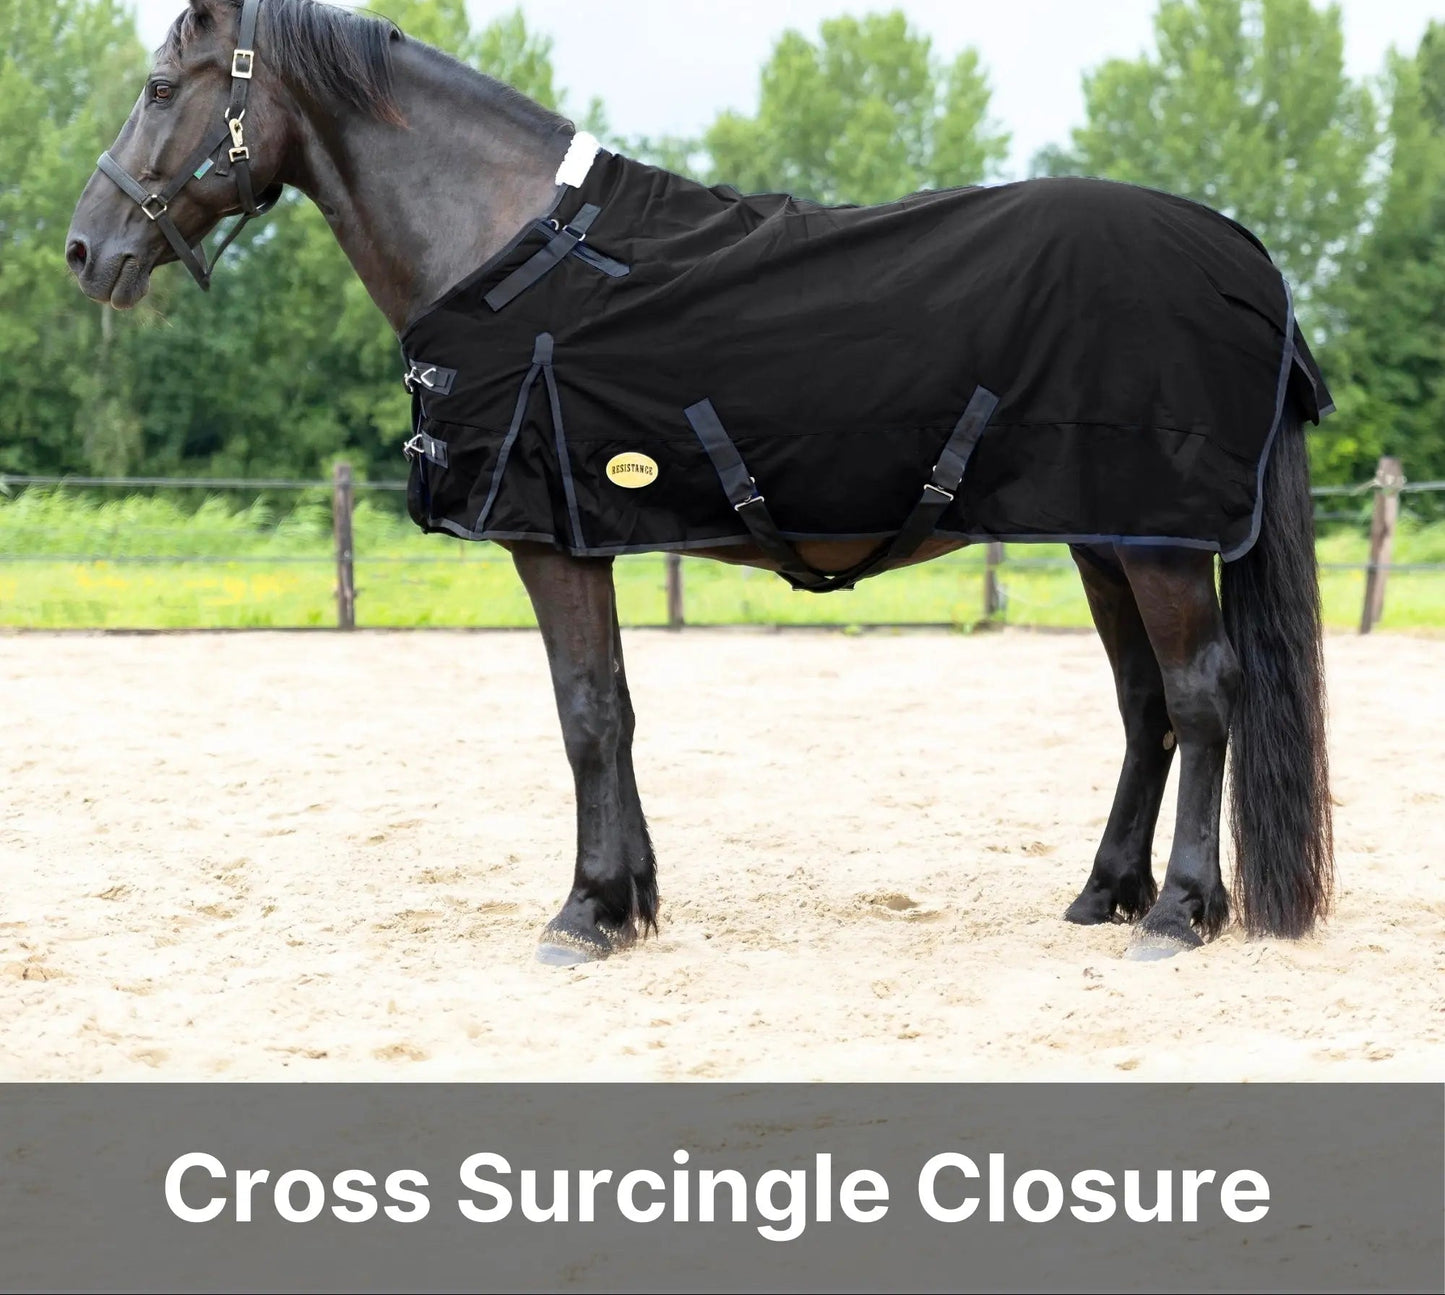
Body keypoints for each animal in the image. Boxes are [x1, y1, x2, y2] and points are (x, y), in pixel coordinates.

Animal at [65, 0, 1333, 965]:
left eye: (162, 84)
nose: (87, 250)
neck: (510, 249)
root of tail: (1240, 252)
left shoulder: (548, 541)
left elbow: (583, 713)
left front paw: (583, 912)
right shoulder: (584, 536)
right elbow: (615, 709)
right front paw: (629, 900)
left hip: (1156, 542)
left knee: (1202, 692)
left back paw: (1178, 912)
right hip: (1102, 534)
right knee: (1142, 703)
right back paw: (1105, 892)